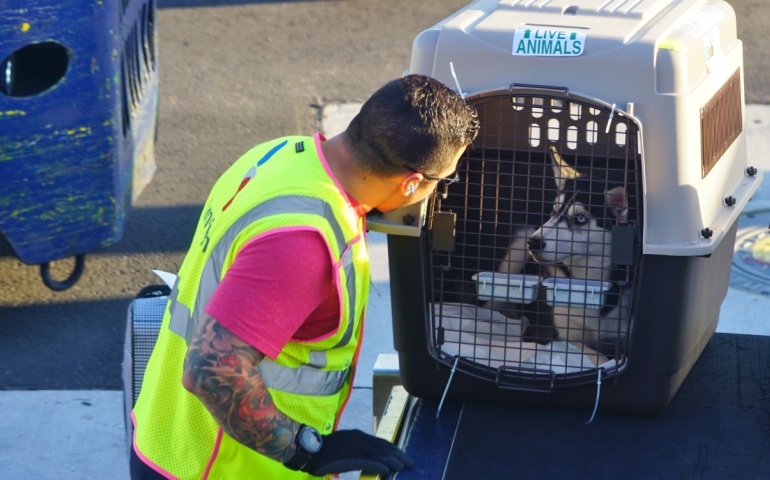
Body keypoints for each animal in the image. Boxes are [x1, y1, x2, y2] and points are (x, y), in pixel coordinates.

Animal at [524, 144, 632, 366]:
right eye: (554, 210)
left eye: (580, 218)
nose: (533, 242)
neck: (588, 281)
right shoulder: (562, 335)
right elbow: (594, 355)